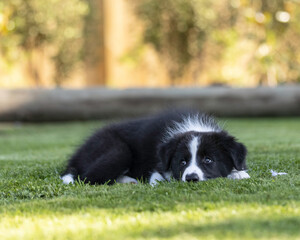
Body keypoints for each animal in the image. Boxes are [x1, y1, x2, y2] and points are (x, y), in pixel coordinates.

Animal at [60, 110, 248, 186]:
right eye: (182, 162)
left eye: (208, 160)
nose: (191, 178)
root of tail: (77, 156)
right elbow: (158, 175)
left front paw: (238, 173)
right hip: (117, 151)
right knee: (85, 178)